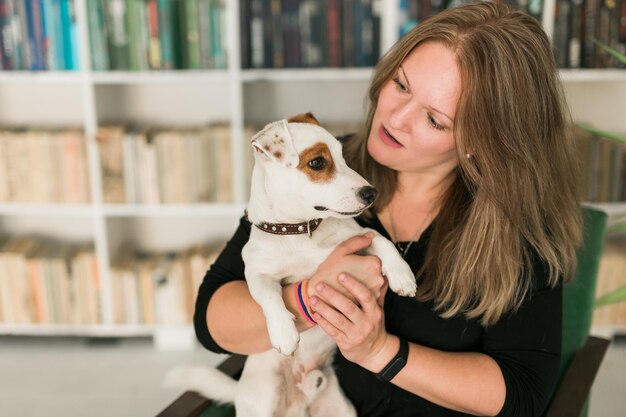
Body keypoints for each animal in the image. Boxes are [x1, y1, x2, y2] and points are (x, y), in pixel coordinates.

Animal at [168, 114, 416, 416]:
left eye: (343, 157)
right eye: (318, 163)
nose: (371, 193)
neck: (299, 230)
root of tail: (300, 403)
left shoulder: (359, 237)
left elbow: (383, 242)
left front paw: (402, 276)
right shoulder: (257, 273)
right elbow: (269, 296)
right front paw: (284, 333)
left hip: (341, 410)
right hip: (261, 402)